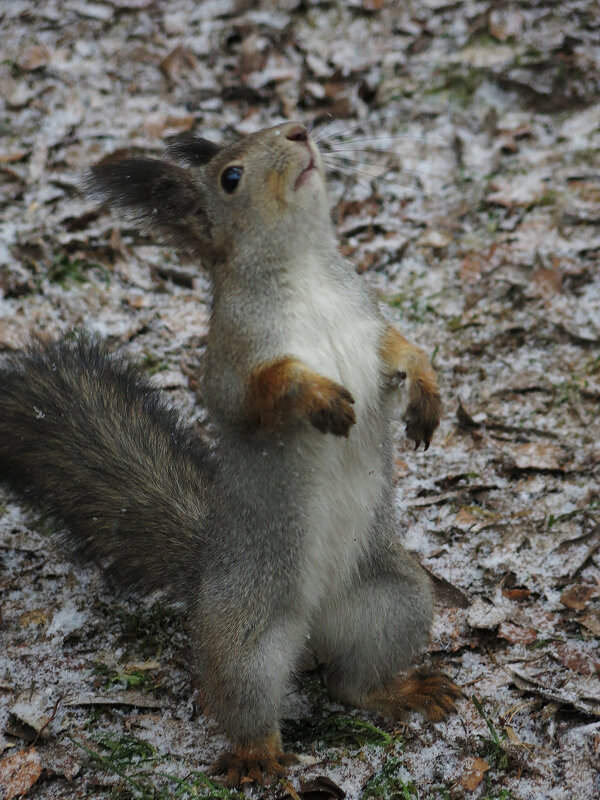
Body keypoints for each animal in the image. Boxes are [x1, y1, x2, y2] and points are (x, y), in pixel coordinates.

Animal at [0, 123, 460, 788]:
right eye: (231, 177)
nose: (299, 131)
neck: (304, 273)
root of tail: (311, 621)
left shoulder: (369, 321)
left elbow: (402, 349)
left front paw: (425, 394)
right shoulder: (232, 358)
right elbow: (259, 392)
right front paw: (318, 395)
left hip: (394, 600)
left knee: (349, 685)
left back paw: (396, 692)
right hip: (245, 638)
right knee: (244, 701)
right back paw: (256, 756)